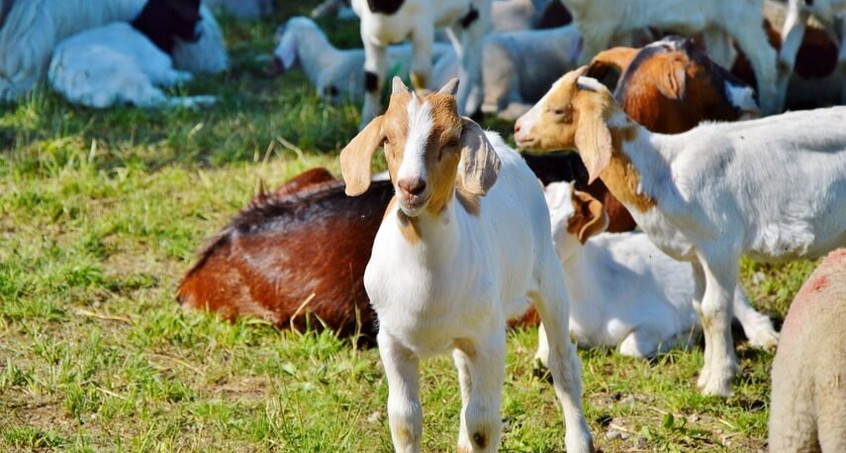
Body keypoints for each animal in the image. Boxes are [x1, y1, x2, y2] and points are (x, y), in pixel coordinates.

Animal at [560, 0, 784, 115]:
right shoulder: (617, 27)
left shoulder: (599, 24)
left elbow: (582, 63)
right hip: (717, 21)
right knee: (725, 54)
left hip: (741, 15)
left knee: (764, 57)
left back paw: (769, 108)